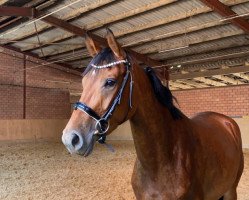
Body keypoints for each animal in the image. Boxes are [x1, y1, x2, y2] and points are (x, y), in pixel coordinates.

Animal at [61, 28, 243, 199]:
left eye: (110, 82)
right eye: (83, 82)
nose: (70, 139)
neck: (162, 162)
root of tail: (227, 121)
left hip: (230, 191)